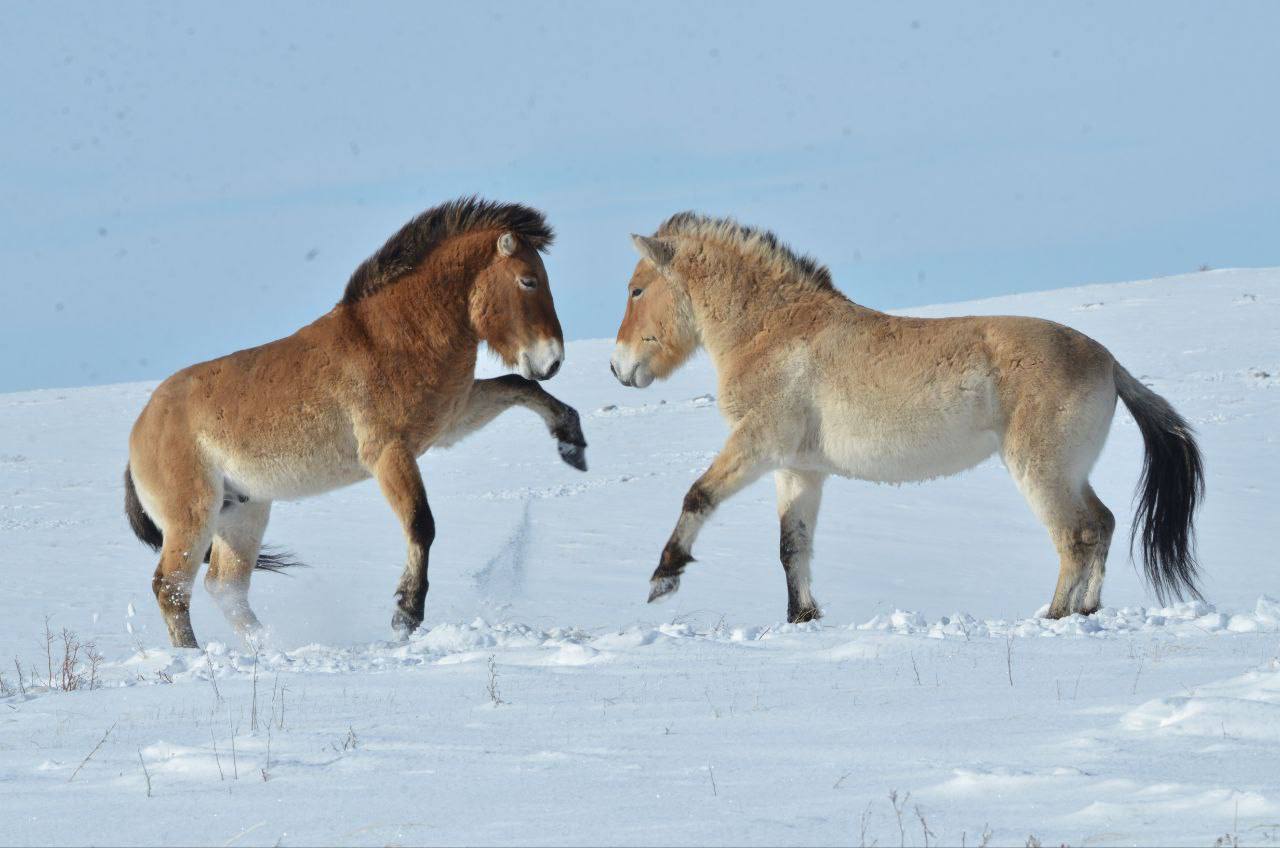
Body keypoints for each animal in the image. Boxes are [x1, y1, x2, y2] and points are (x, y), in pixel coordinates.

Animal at [125, 197, 588, 648]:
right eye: (528, 281)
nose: (552, 360)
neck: (396, 335)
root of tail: (138, 435)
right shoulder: (389, 452)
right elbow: (421, 525)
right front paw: (406, 615)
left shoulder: (451, 422)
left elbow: (519, 386)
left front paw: (573, 444)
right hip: (193, 518)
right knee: (171, 588)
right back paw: (196, 656)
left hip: (243, 513)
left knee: (225, 588)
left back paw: (270, 646)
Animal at [609, 212, 1203, 623]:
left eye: (637, 289)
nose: (618, 367)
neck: (773, 331)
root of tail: (1108, 362)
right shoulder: (798, 470)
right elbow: (791, 547)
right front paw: (802, 618)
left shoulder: (755, 444)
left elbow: (698, 495)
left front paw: (664, 577)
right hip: (1069, 472)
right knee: (1101, 524)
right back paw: (1085, 612)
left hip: (1041, 470)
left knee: (1075, 535)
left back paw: (1055, 617)